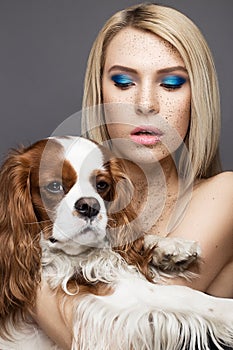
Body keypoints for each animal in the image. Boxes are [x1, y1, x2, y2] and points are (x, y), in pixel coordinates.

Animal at [0, 135, 232, 348]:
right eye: (55, 186)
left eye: (102, 184)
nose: (90, 206)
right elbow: (180, 295)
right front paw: (227, 310)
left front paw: (172, 249)